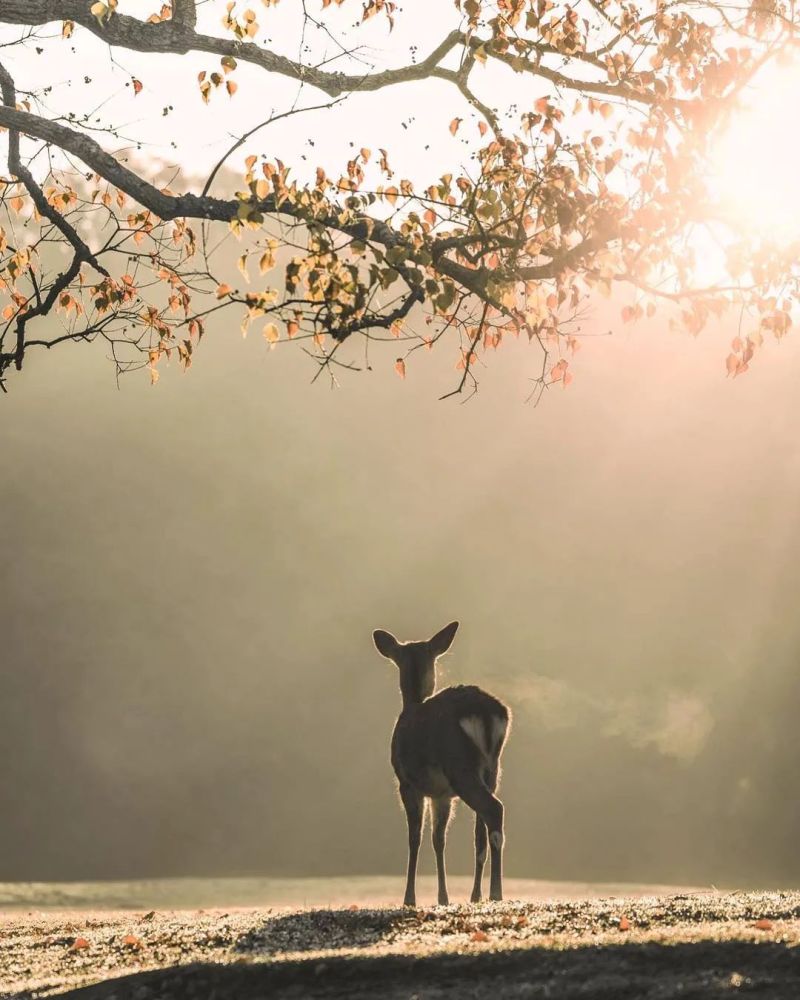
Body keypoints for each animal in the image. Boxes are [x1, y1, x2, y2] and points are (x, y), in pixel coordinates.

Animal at [372, 616, 510, 908]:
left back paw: (496, 892)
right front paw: (443, 898)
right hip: (493, 768)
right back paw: (477, 895)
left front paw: (409, 898)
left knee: (493, 809)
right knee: (481, 831)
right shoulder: (442, 794)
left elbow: (415, 837)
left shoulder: (407, 782)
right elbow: (438, 839)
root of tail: (486, 713)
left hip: (460, 765)